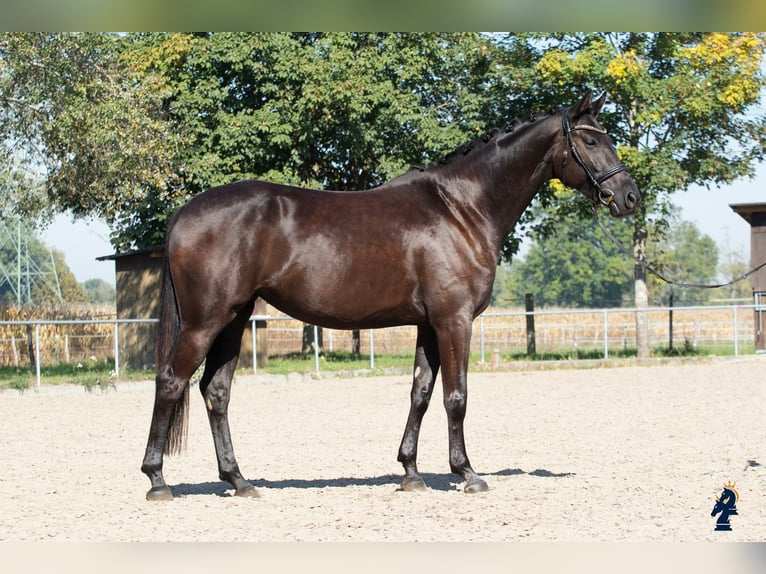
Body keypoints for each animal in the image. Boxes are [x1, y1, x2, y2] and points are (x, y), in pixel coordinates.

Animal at [141, 90, 640, 501]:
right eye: (590, 141)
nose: (629, 196)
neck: (462, 208)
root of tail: (185, 211)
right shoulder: (454, 320)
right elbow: (456, 397)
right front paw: (467, 474)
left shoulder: (428, 324)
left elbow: (420, 392)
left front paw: (411, 473)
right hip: (205, 322)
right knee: (171, 382)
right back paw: (158, 481)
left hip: (234, 319)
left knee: (216, 391)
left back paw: (239, 481)